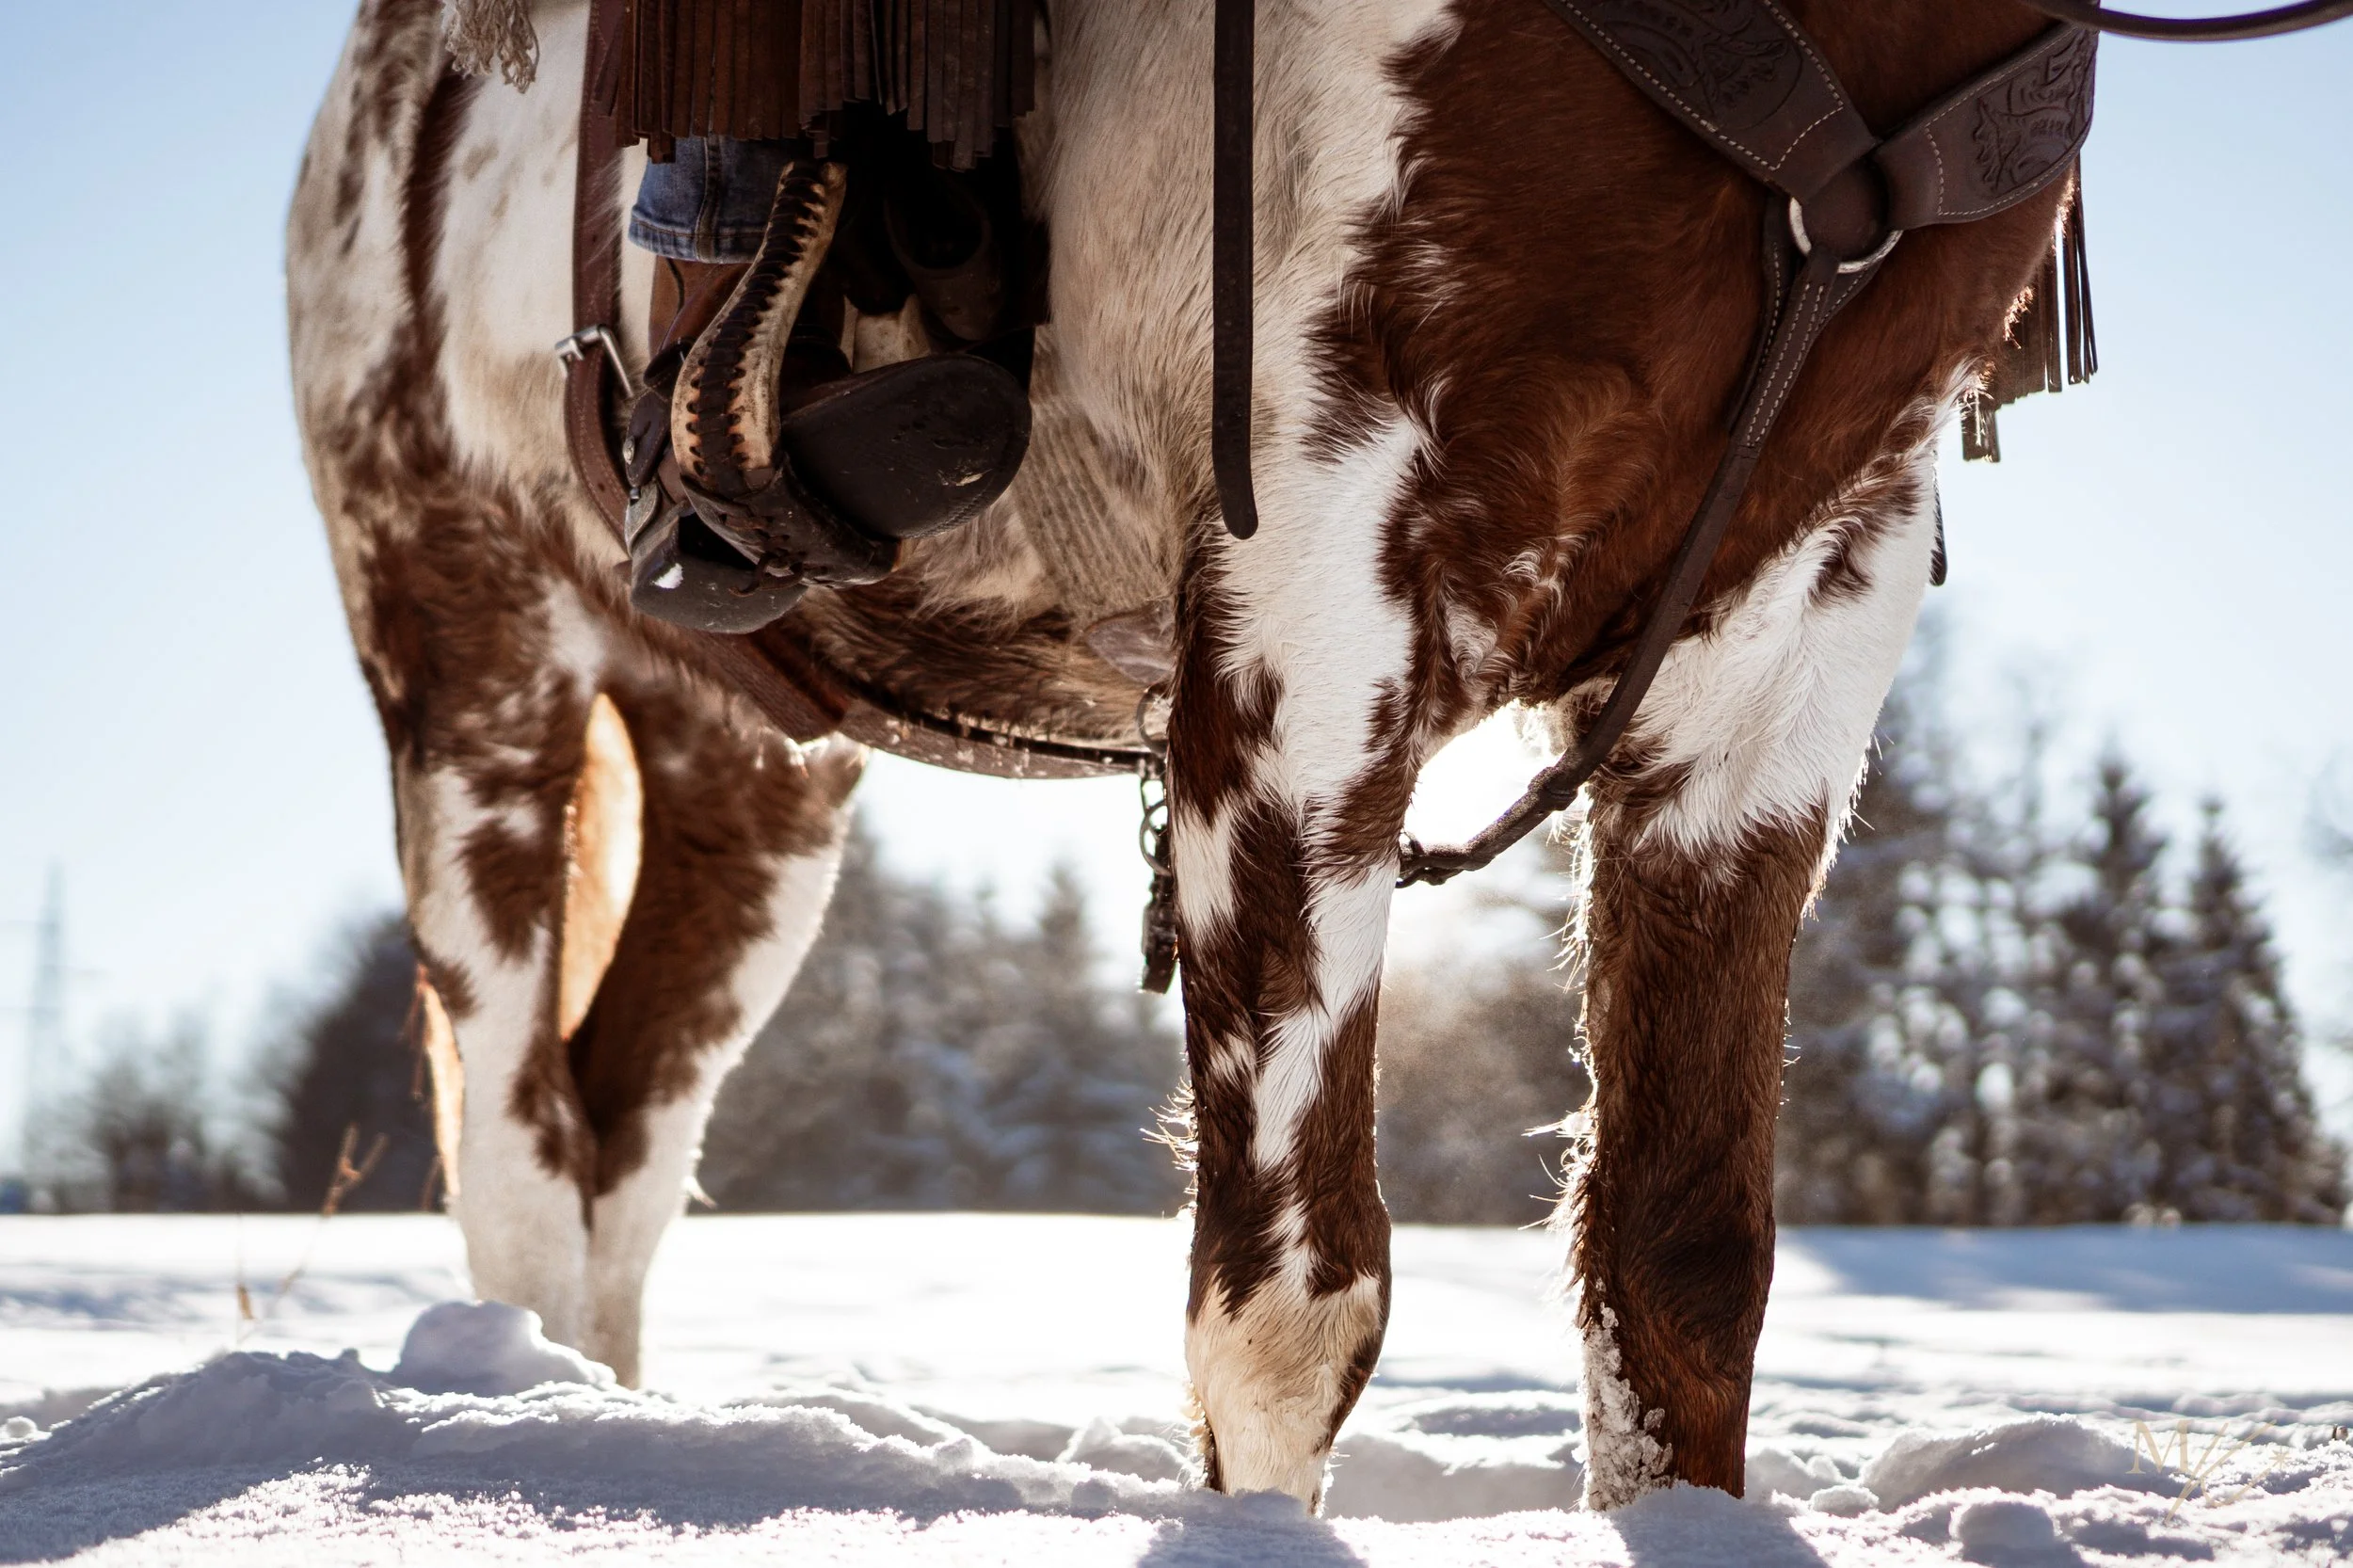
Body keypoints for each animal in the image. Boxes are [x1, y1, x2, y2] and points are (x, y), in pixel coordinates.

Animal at [290, 0, 2072, 1509]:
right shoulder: (1314, 573)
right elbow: (1291, 1300)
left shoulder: (1796, 605)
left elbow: (1678, 1270)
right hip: (472, 658)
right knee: (524, 1150)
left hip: (751, 786)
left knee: (625, 1143)